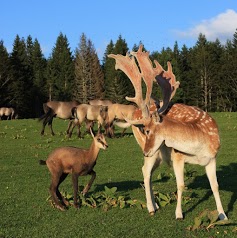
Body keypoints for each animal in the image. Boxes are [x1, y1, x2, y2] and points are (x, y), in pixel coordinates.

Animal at [109, 45, 228, 221]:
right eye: (144, 130)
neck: (199, 148)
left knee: (149, 172)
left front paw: (222, 214)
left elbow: (215, 185)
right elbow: (181, 184)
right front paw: (179, 214)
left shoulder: (212, 158)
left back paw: (156, 204)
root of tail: (136, 112)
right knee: (145, 171)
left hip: (158, 154)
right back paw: (151, 208)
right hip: (152, 152)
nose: (145, 151)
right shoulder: (178, 156)